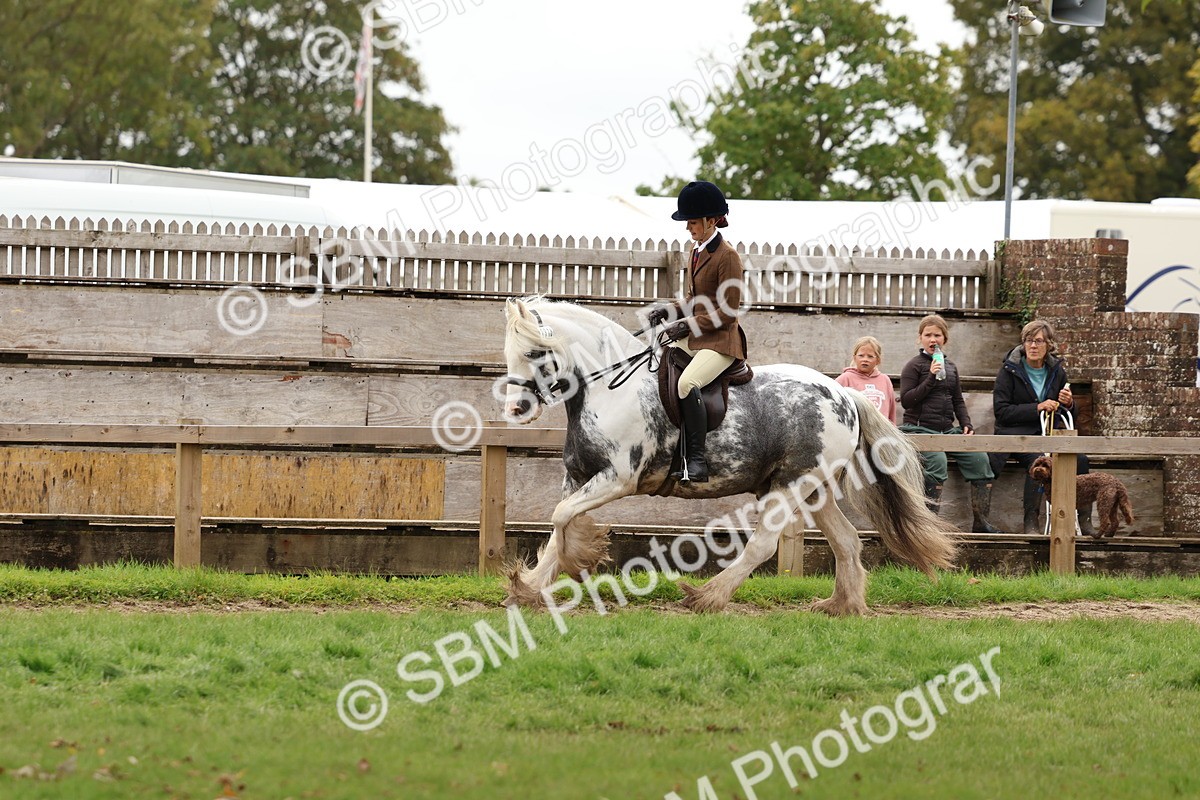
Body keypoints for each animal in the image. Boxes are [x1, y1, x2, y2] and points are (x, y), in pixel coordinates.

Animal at [499, 296, 955, 615]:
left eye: (534, 353)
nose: (517, 409)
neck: (610, 387)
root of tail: (844, 395)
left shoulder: (617, 478)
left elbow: (562, 517)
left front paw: (576, 558)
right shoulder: (578, 476)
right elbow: (559, 520)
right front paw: (531, 586)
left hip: (789, 486)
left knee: (763, 545)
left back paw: (707, 596)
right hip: (814, 488)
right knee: (846, 541)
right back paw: (842, 605)